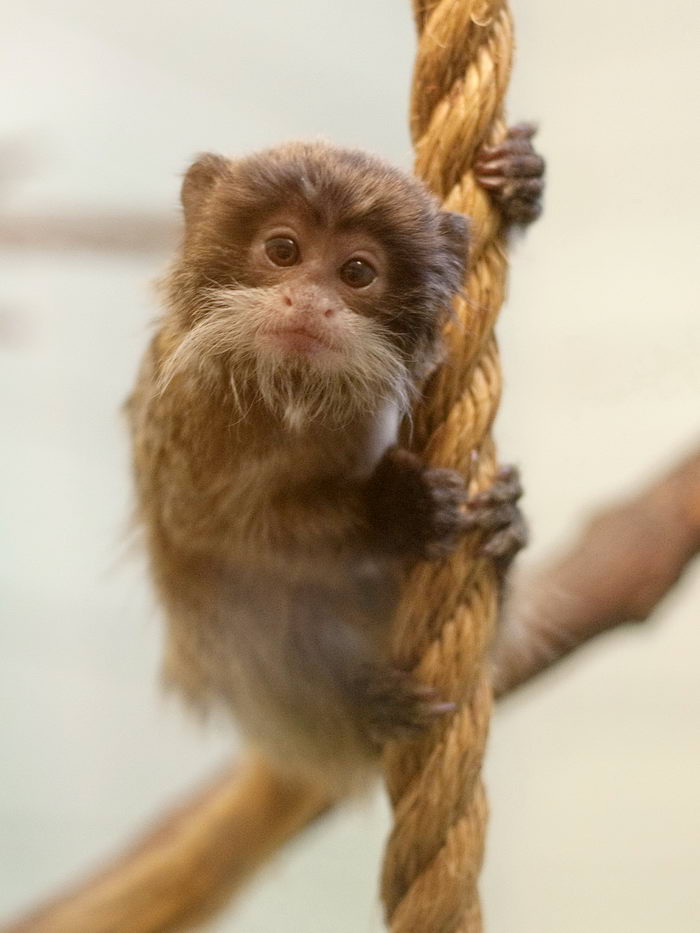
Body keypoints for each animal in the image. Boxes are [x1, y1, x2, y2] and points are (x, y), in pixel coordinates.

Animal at [124, 125, 540, 792]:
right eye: (284, 250)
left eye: (357, 271)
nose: (311, 302)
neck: (292, 392)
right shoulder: (187, 410)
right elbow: (212, 530)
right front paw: (398, 509)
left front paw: (519, 180)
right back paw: (365, 708)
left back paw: (503, 539)